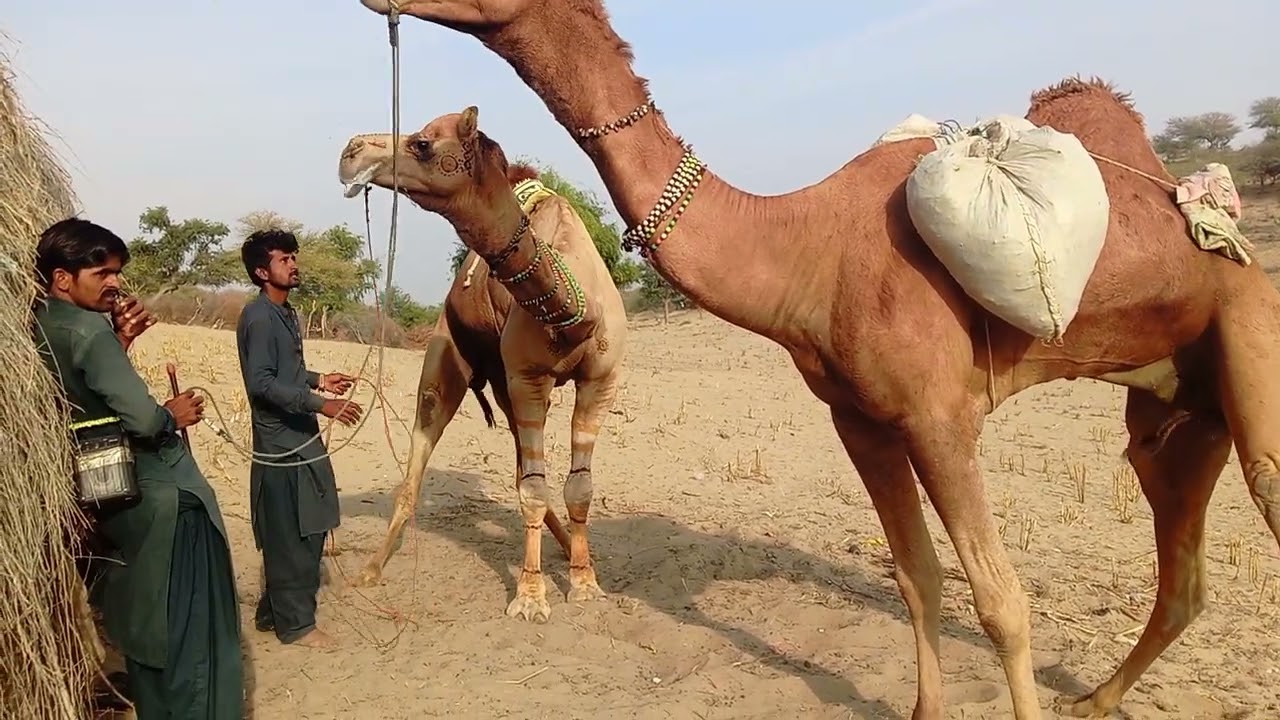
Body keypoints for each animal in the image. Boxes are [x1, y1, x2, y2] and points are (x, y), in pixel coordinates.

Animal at [340, 117, 628, 623]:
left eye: (423, 143)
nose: (351, 151)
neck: (575, 311)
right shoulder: (530, 377)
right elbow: (535, 490)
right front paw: (531, 597)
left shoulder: (600, 379)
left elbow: (578, 487)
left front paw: (585, 581)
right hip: (452, 359)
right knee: (419, 461)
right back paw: (373, 568)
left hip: (503, 382)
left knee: (520, 469)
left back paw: (562, 547)